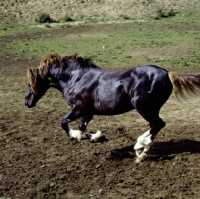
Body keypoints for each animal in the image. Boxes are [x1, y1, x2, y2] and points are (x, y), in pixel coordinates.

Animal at [25, 52, 200, 163]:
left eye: (29, 83)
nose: (27, 102)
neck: (76, 78)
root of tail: (167, 73)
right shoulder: (88, 112)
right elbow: (82, 127)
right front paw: (96, 137)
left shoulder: (78, 108)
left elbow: (64, 122)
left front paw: (76, 136)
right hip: (151, 109)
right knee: (154, 126)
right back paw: (141, 152)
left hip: (143, 107)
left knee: (158, 124)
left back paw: (139, 148)